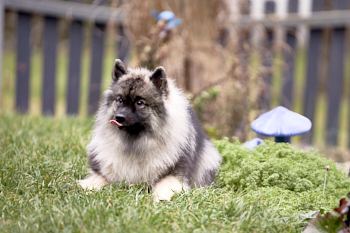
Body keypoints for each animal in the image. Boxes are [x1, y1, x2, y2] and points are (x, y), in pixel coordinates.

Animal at [79, 59, 221, 201]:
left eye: (140, 103)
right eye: (119, 100)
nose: (119, 117)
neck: (136, 142)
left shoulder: (172, 175)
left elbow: (165, 187)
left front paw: (160, 199)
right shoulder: (103, 173)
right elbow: (96, 181)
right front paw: (87, 190)